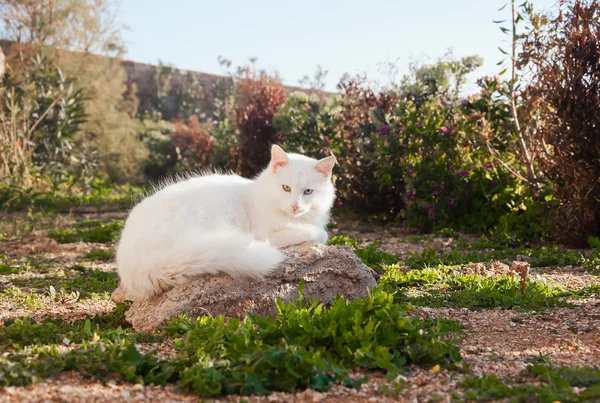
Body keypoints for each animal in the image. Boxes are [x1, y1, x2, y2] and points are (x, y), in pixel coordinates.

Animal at [115, 145, 336, 300]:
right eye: (286, 188)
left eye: (308, 192)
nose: (295, 206)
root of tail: (132, 264)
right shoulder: (268, 234)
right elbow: (321, 233)